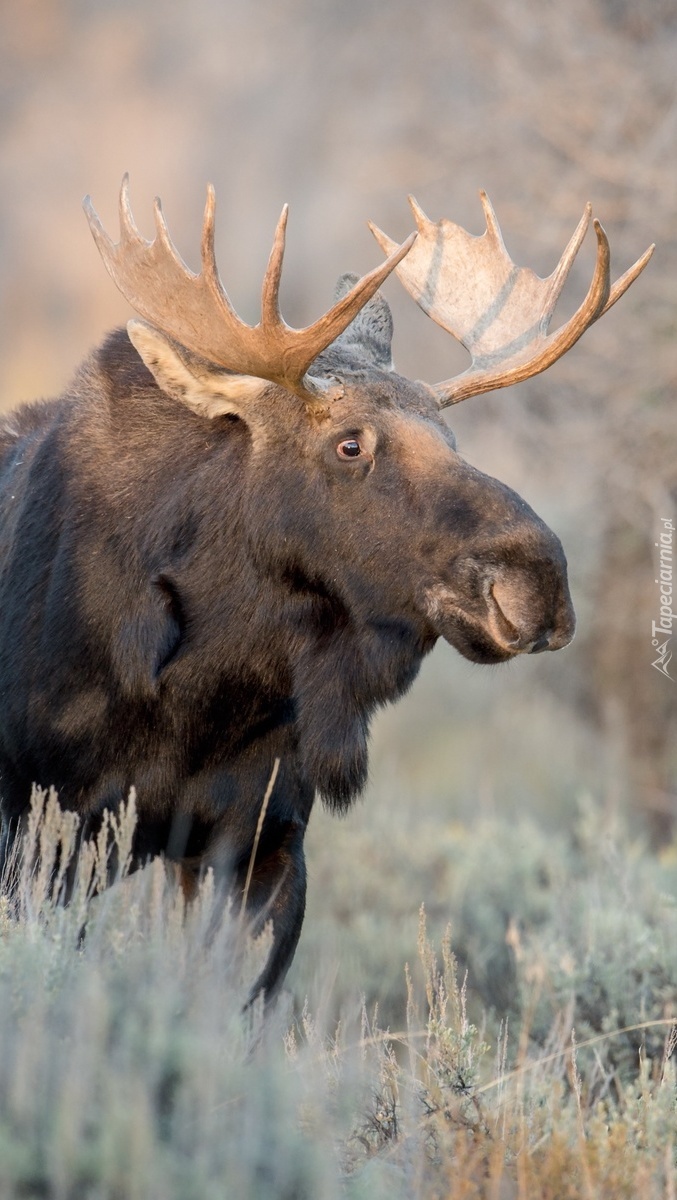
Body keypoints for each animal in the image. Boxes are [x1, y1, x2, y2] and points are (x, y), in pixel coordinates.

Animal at [0, 177, 652, 998]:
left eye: (453, 440)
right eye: (349, 444)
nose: (537, 582)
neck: (198, 694)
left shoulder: (264, 840)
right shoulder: (41, 831)